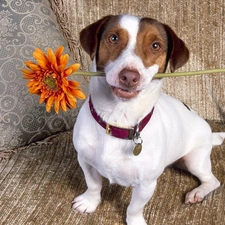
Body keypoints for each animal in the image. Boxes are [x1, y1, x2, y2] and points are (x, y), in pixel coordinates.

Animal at [72, 14, 225, 225]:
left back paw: (198, 192)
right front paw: (89, 202)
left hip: (195, 159)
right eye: (113, 38)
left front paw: (134, 221)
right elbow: (93, 185)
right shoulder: (85, 161)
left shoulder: (146, 184)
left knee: (212, 180)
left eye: (155, 45)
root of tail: (209, 130)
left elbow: (134, 208)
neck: (118, 120)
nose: (129, 76)